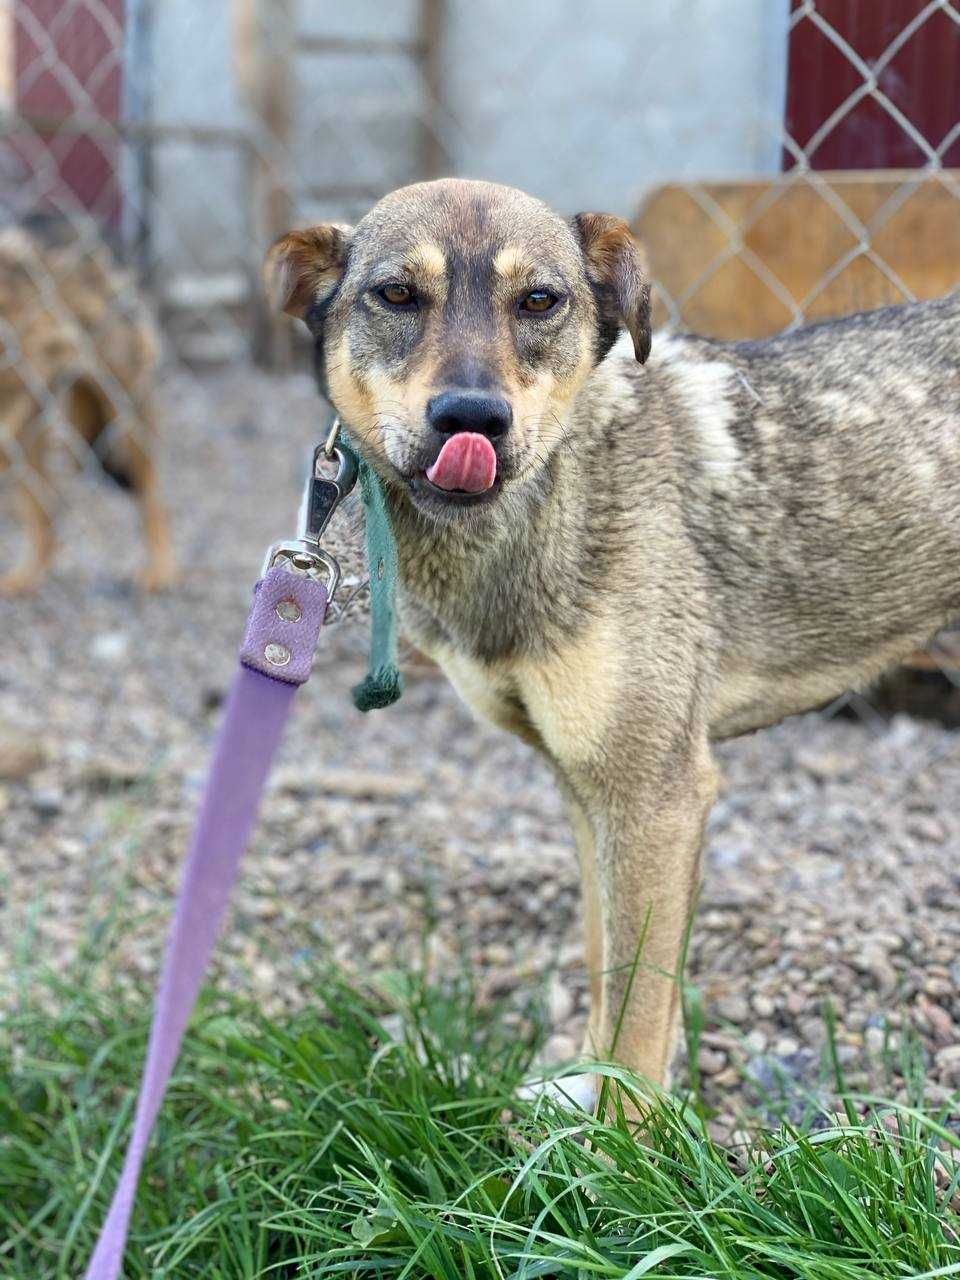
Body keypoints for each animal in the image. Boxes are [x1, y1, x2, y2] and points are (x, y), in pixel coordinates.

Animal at [264, 180, 960, 1100]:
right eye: (398, 294)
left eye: (539, 301)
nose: (472, 419)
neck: (549, 501)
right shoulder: (583, 785)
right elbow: (603, 978)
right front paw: (578, 1100)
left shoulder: (655, 795)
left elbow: (637, 1025)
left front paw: (623, 1136)